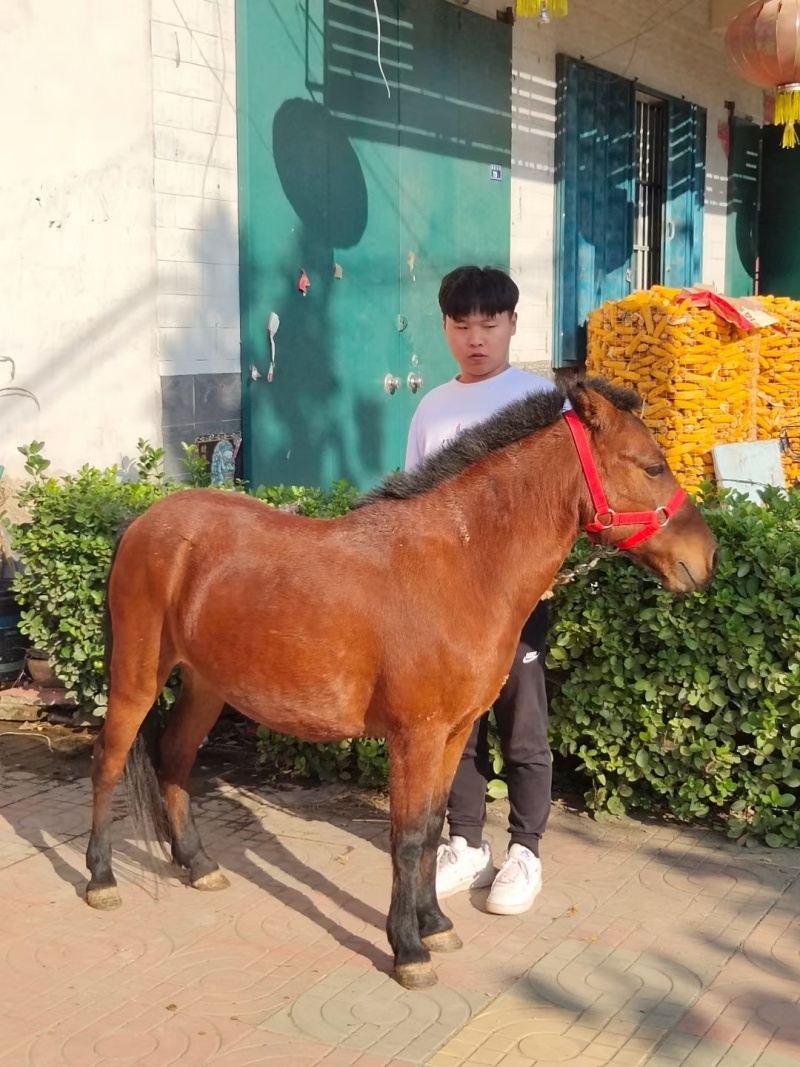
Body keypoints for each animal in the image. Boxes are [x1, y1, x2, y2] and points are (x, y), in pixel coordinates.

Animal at [86, 378, 717, 989]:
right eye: (652, 466)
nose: (707, 556)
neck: (462, 564)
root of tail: (143, 522)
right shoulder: (415, 736)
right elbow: (408, 837)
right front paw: (408, 950)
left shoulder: (454, 733)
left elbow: (434, 827)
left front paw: (436, 924)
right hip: (138, 678)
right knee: (110, 760)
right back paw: (100, 877)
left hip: (206, 685)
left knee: (173, 757)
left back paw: (198, 865)